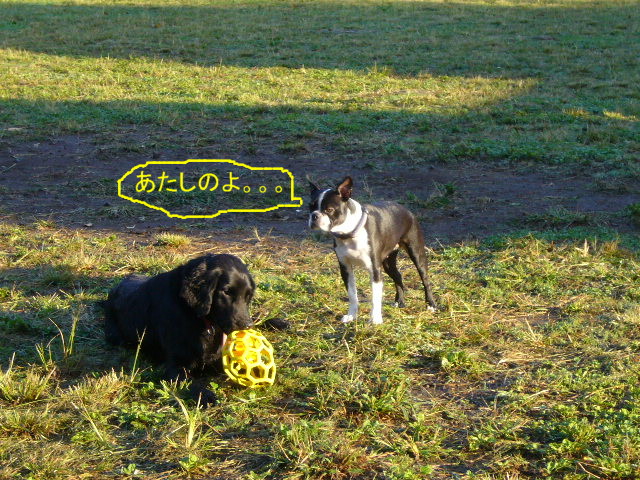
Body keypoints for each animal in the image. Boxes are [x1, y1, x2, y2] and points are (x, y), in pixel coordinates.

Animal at [102, 253, 255, 406]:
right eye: (226, 292)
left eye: (248, 295)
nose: (247, 325)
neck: (198, 318)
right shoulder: (175, 366)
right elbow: (193, 383)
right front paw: (206, 396)